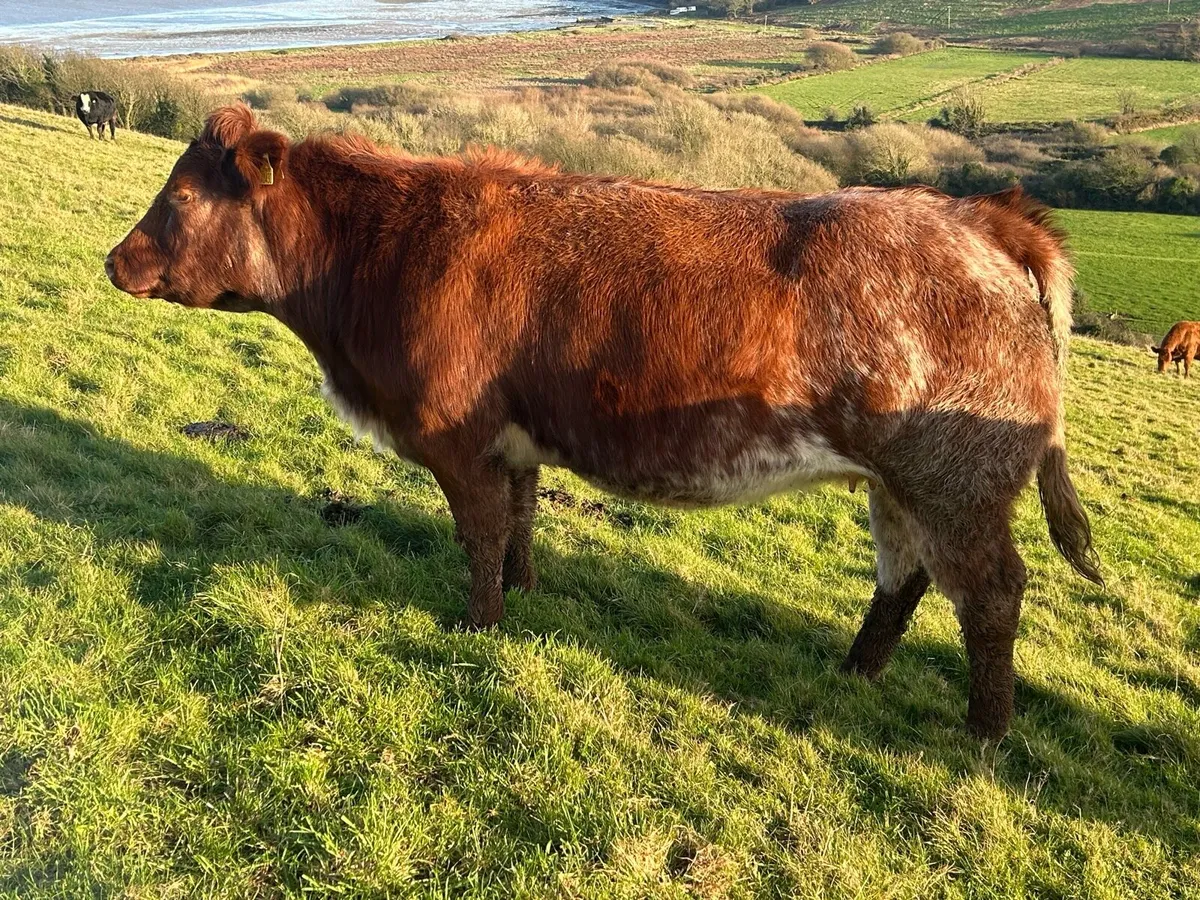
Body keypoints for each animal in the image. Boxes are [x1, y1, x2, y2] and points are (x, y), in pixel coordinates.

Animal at [105, 105, 1102, 739]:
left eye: (182, 198)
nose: (116, 260)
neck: (378, 257)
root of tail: (983, 214)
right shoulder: (513, 440)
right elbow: (519, 519)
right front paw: (525, 591)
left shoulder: (457, 438)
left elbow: (478, 533)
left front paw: (479, 625)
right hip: (900, 486)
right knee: (905, 579)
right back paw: (855, 672)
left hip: (955, 482)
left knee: (992, 592)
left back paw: (985, 732)